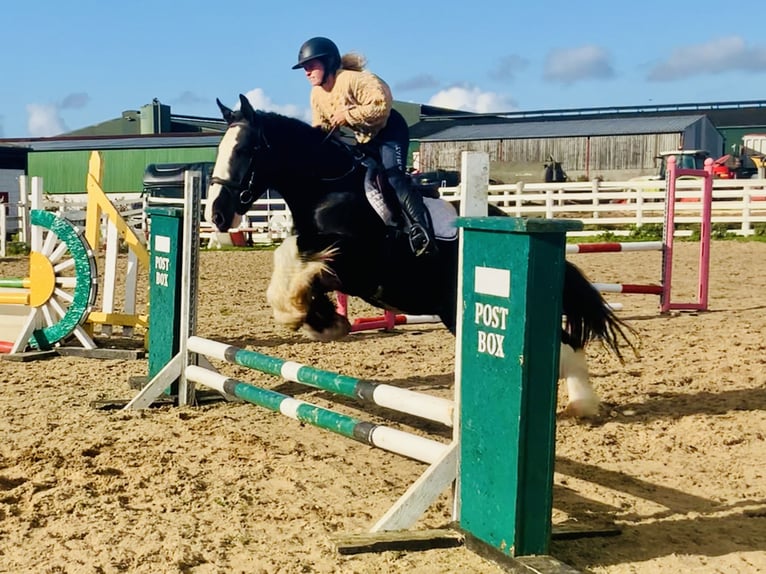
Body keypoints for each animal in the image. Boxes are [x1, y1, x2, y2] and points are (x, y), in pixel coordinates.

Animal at [204, 94, 636, 418]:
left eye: (245, 149)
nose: (217, 215)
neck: (329, 188)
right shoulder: (325, 256)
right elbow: (288, 261)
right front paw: (322, 321)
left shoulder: (356, 262)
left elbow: (296, 262)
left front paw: (307, 315)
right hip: (451, 312)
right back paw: (580, 403)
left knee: (563, 344)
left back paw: (583, 403)